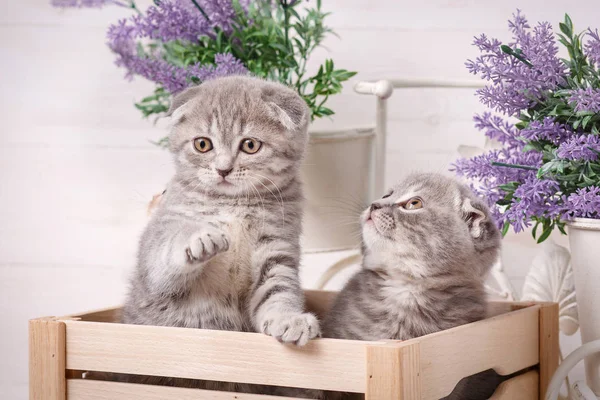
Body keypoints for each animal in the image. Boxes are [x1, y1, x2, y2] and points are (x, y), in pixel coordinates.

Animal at [120, 76, 318, 390]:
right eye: (203, 144)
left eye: (250, 145)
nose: (223, 169)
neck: (233, 204)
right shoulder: (158, 246)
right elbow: (164, 256)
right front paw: (199, 239)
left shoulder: (276, 249)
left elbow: (278, 291)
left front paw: (290, 320)